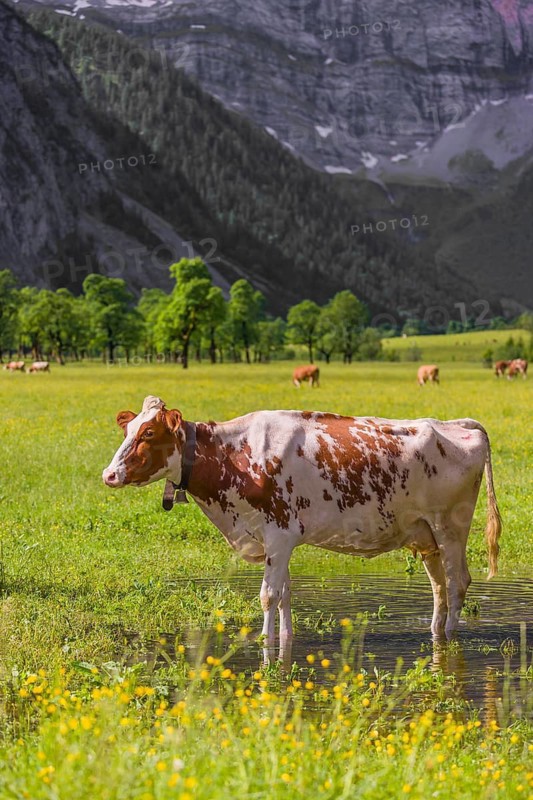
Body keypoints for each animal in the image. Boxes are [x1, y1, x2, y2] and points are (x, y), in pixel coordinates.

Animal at [103, 396, 501, 656]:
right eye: (128, 431)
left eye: (148, 433)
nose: (109, 474)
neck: (236, 455)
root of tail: (453, 424)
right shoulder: (278, 541)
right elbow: (285, 595)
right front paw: (284, 640)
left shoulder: (278, 536)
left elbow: (268, 596)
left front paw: (265, 644)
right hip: (426, 535)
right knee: (439, 586)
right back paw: (434, 631)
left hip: (451, 528)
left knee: (457, 582)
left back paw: (449, 636)